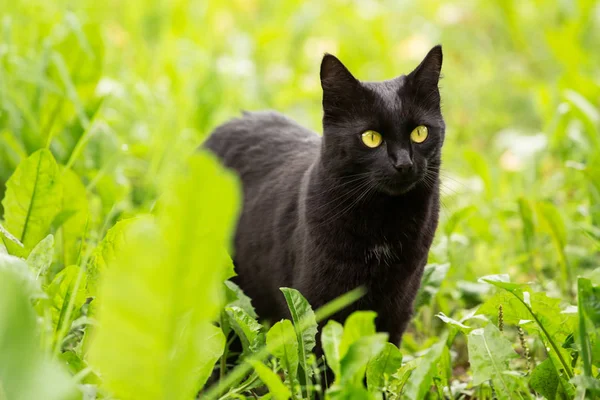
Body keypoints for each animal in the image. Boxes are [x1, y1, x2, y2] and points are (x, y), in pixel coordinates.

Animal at [206, 44, 446, 346]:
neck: (383, 222)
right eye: (371, 138)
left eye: (420, 132)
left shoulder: (399, 304)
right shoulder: (315, 304)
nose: (404, 163)